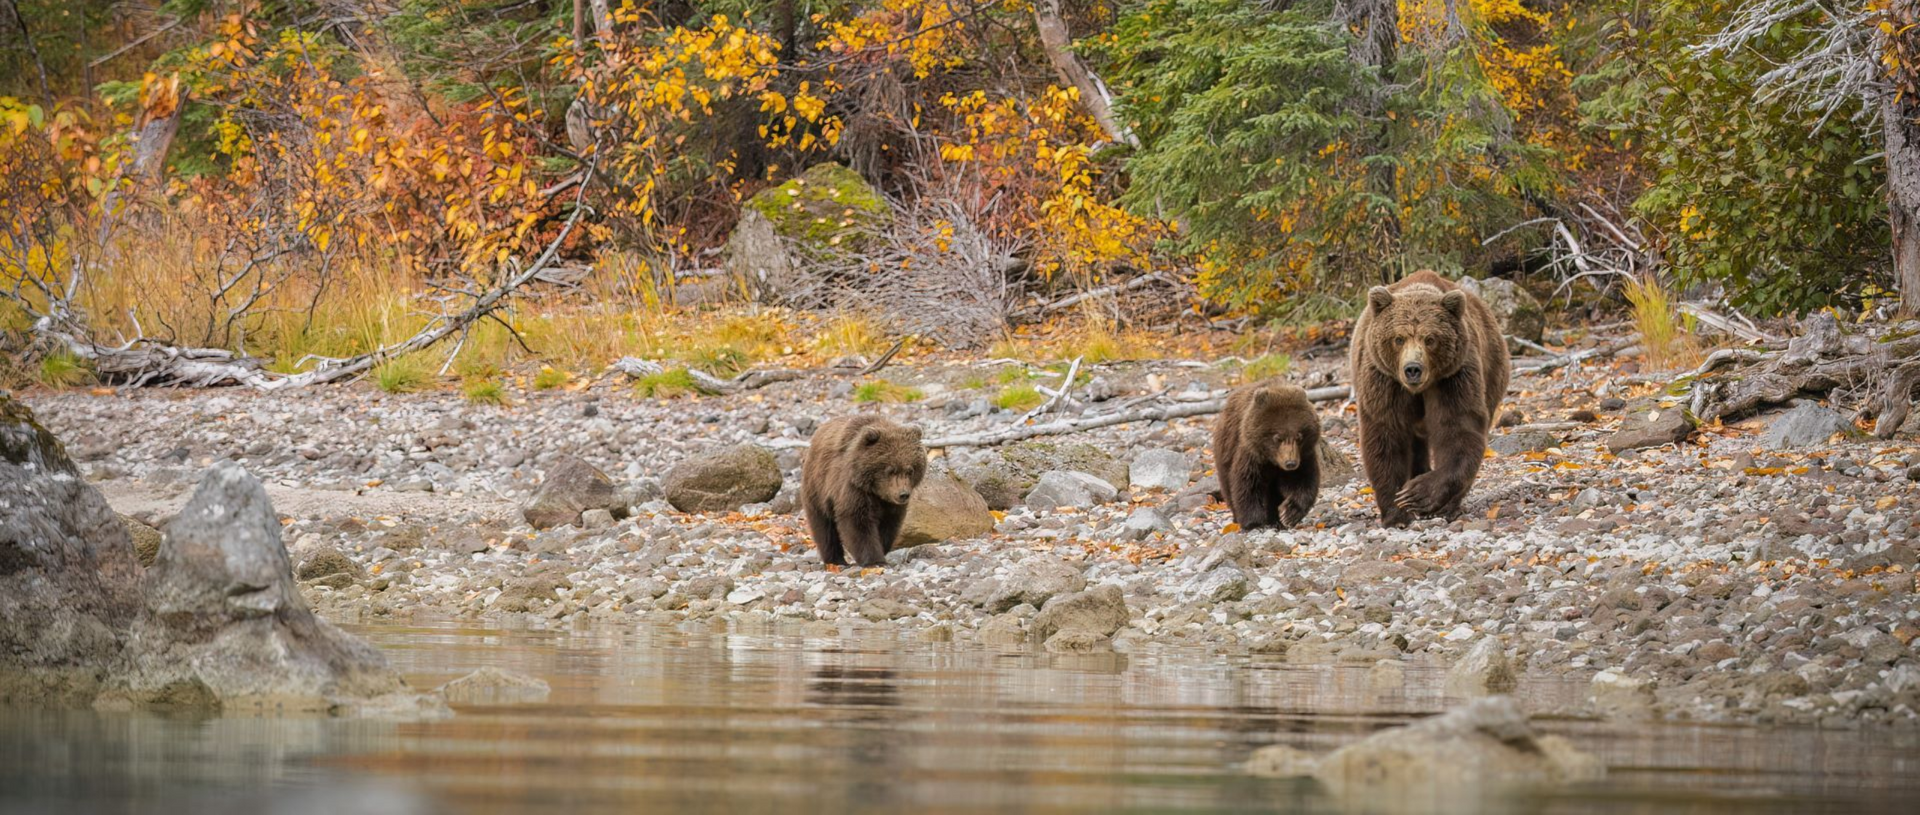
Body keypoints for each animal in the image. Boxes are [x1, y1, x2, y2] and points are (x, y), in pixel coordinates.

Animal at [801, 414, 928, 567]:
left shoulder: (890, 504)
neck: (877, 492)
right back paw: (835, 559)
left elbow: (889, 524)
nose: (903, 494)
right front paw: (874, 560)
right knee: (824, 527)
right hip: (817, 487)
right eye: (890, 470)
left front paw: (882, 548)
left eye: (910, 470)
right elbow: (858, 522)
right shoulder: (854, 489)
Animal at [1210, 380, 1322, 530]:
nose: (1290, 463)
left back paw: (1274, 520)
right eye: (1278, 437)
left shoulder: (1303, 456)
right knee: (1227, 485)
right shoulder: (1252, 456)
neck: (1272, 460)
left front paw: (1289, 513)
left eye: (1299, 437)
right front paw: (1254, 522)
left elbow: (1304, 481)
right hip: (1225, 449)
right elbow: (1247, 485)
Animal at [1350, 269, 1510, 527]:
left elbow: (1458, 430)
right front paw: (1397, 513)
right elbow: (1385, 435)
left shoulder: (1453, 378)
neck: (1418, 390)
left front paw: (1417, 494)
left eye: (1430, 339)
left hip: (1492, 370)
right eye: (1398, 338)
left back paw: (1449, 507)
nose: (1413, 369)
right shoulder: (1385, 382)